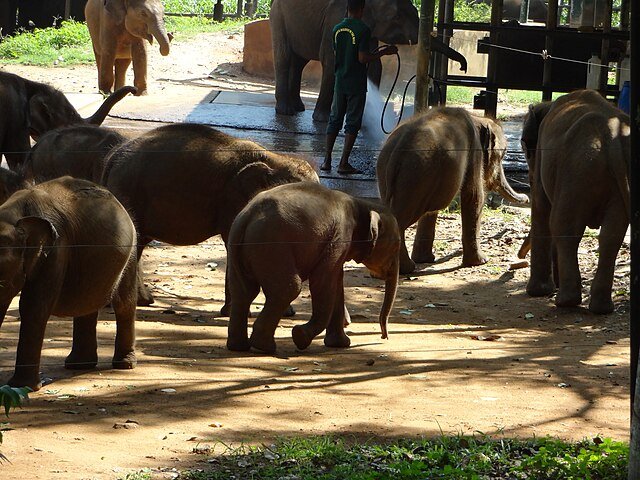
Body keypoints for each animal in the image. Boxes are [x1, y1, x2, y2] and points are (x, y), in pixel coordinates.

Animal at [0, 176, 138, 390]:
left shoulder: (56, 250)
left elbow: (34, 307)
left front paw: (22, 387)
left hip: (130, 252)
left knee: (124, 303)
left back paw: (124, 365)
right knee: (87, 301)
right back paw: (78, 365)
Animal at [226, 181, 400, 354]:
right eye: (395, 248)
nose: (384, 337)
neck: (362, 204)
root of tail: (246, 217)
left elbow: (336, 283)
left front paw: (340, 344)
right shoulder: (340, 235)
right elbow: (323, 281)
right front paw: (300, 336)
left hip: (238, 249)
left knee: (243, 291)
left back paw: (239, 347)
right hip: (272, 246)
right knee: (288, 289)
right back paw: (264, 347)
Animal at [269, 0, 418, 121]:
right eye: (397, 17)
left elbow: (374, 64)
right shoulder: (335, 19)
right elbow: (331, 60)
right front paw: (323, 119)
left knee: (299, 62)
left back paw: (298, 107)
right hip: (279, 17)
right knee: (284, 56)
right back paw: (286, 111)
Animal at [377, 107, 530, 274]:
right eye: (502, 156)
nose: (527, 198)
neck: (477, 118)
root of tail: (397, 151)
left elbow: (433, 211)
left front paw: (425, 260)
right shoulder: (474, 150)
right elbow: (474, 195)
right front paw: (481, 261)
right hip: (414, 176)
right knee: (401, 219)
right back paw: (405, 268)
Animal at [523, 90, 630, 314]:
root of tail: (611, 136)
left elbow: (542, 206)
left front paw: (538, 292)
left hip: (576, 170)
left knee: (563, 225)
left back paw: (565, 301)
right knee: (612, 235)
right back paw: (601, 308)